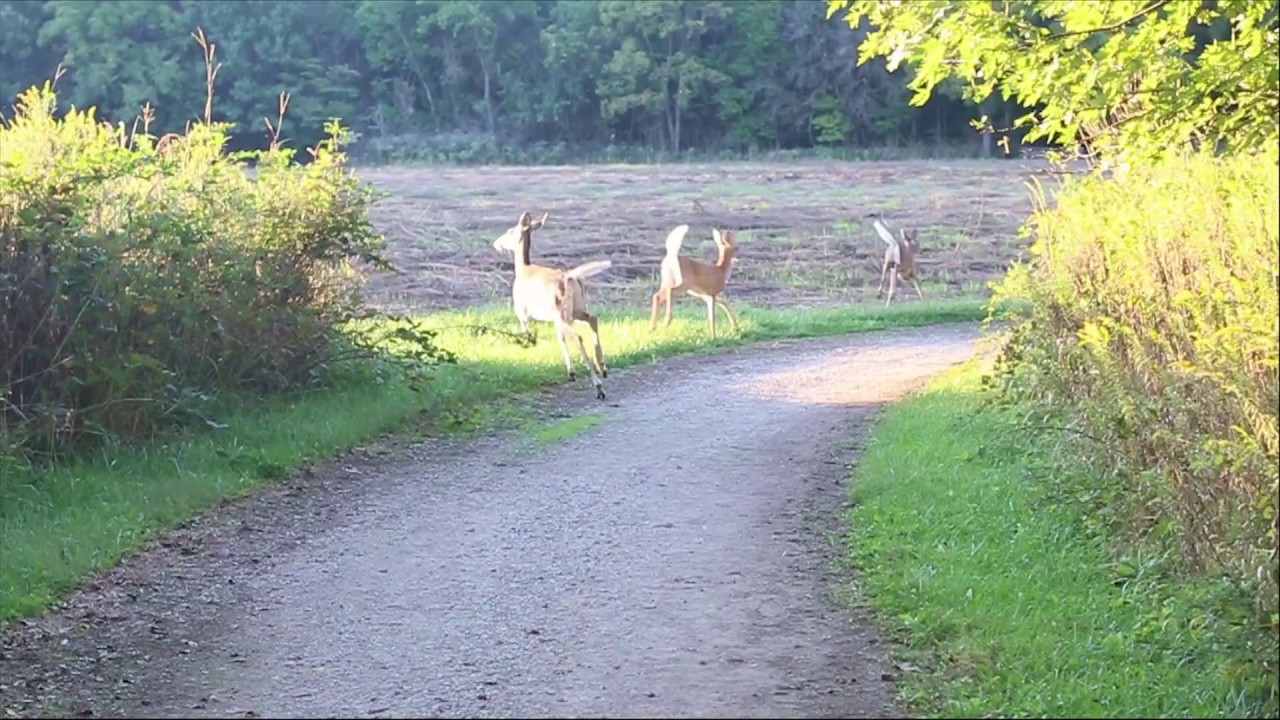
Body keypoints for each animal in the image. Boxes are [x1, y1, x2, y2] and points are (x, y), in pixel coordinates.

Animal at [488, 210, 609, 397]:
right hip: (575, 308)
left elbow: (528, 335)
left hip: (562, 312)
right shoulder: (553, 319)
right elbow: (560, 338)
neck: (522, 270)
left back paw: (598, 386)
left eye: (510, 231)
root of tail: (570, 278)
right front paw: (571, 372)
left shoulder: (522, 312)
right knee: (593, 318)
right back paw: (602, 366)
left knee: (578, 336)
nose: (496, 243)